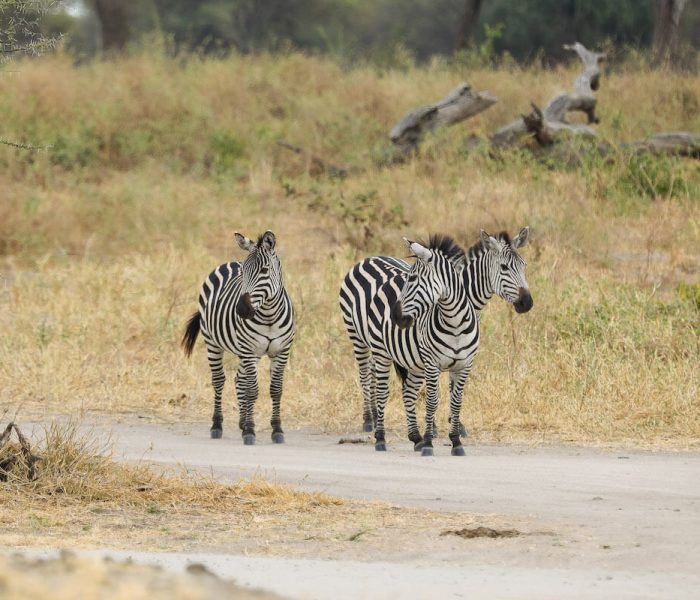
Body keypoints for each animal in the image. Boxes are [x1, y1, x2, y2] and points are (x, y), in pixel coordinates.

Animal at [182, 230, 294, 446]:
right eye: (244, 271)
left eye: (265, 270)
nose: (241, 310)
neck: (269, 315)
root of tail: (228, 262)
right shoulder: (249, 351)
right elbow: (252, 390)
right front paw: (250, 430)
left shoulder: (281, 352)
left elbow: (276, 389)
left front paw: (276, 429)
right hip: (213, 343)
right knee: (219, 380)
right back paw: (217, 426)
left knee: (239, 379)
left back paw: (241, 423)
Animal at [340, 227, 532, 452]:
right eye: (504, 267)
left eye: (524, 266)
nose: (527, 302)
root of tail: (369, 258)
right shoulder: (429, 357)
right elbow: (436, 395)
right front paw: (433, 429)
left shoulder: (455, 357)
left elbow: (449, 391)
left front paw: (453, 426)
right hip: (357, 336)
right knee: (365, 374)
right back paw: (369, 420)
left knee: (376, 372)